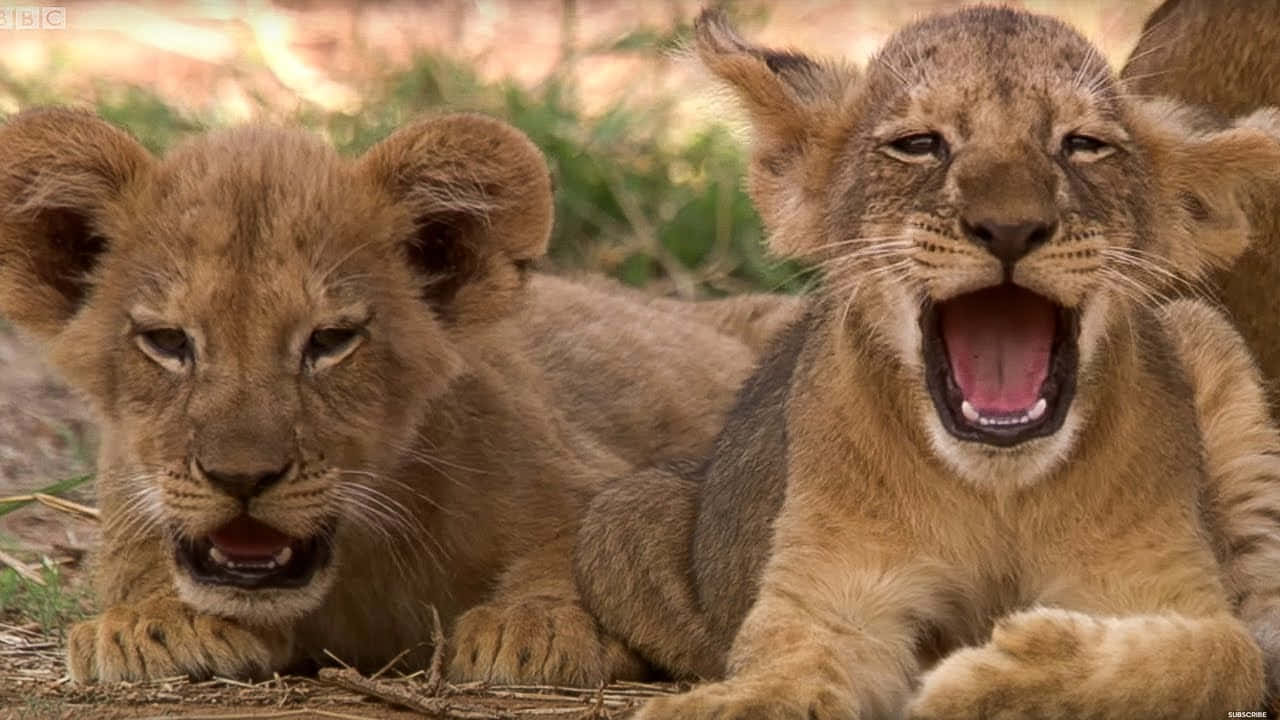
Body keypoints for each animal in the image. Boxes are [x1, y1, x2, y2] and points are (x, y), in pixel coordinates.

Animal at [0, 107, 782, 686]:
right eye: (167, 341)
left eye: (330, 341)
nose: (242, 479)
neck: (354, 578)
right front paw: (154, 621)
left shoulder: (586, 466)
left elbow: (584, 540)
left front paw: (539, 623)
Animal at [574, 7, 1280, 718]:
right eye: (919, 144)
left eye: (1082, 144)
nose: (1010, 229)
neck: (1000, 491)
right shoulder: (836, 600)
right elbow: (783, 677)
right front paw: (718, 703)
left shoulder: (1166, 586)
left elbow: (1222, 656)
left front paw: (996, 679)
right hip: (621, 521)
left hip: (1208, 339)